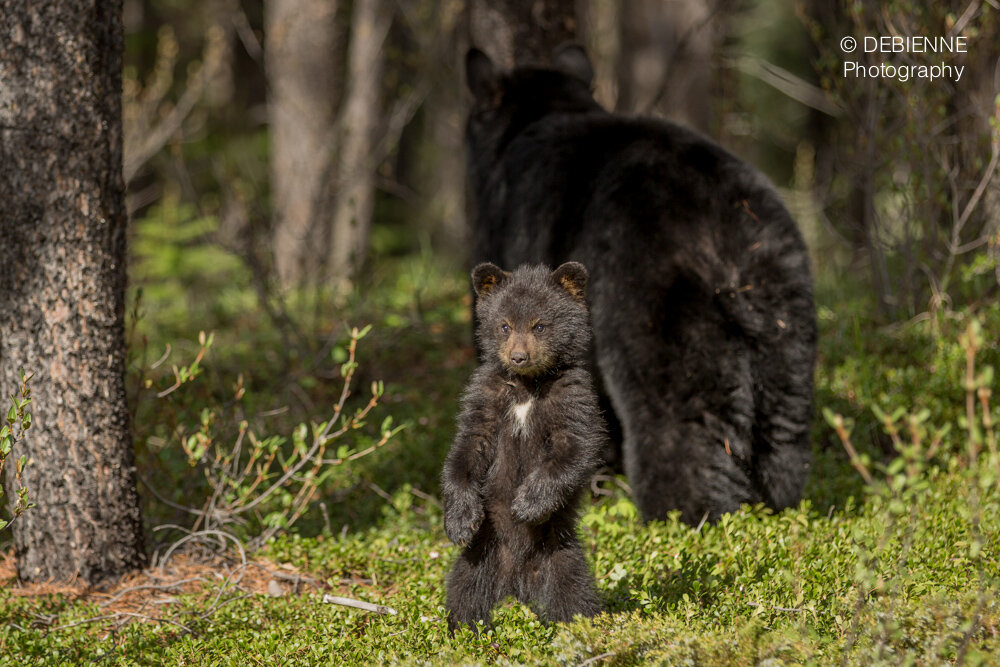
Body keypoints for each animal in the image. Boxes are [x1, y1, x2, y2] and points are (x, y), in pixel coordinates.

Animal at [464, 45, 816, 528]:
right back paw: (778, 505)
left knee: (675, 417)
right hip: (785, 313)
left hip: (659, 307)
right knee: (785, 421)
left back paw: (681, 514)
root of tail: (731, 235)